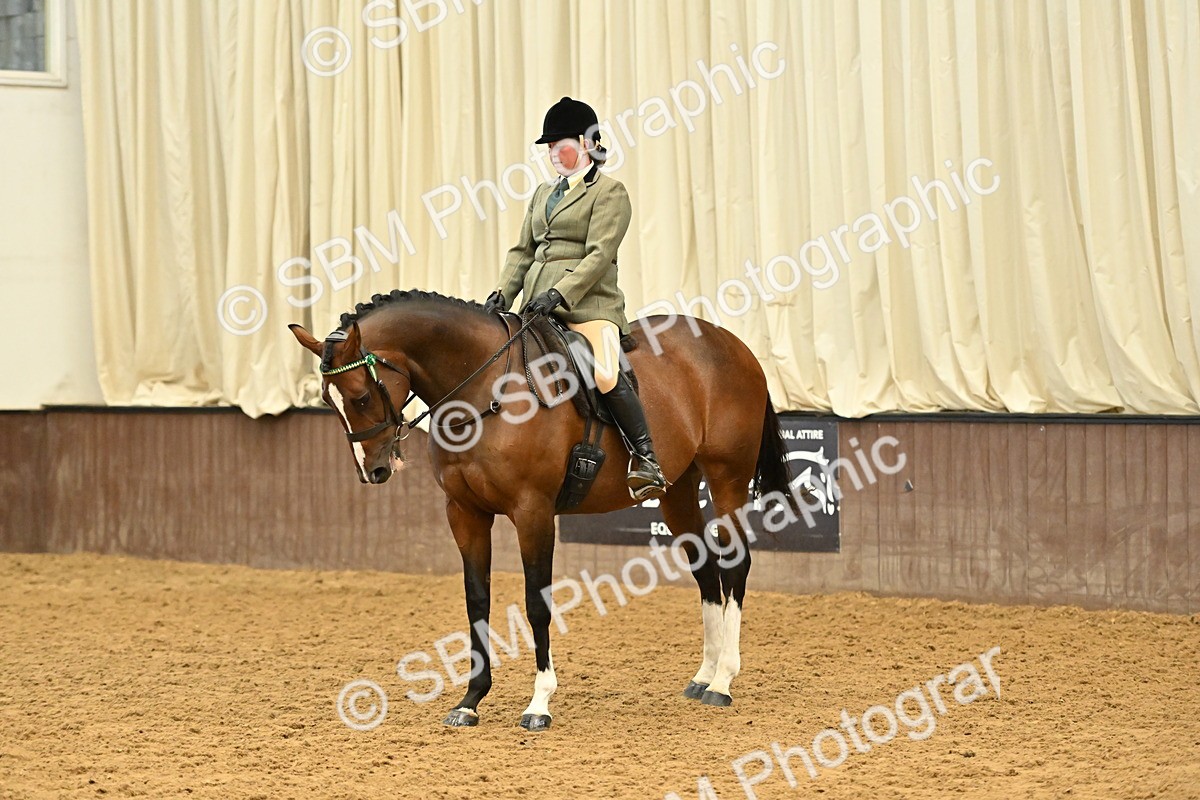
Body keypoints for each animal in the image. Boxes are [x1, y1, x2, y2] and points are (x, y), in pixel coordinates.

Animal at [289, 289, 797, 730]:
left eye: (359, 396)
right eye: (327, 401)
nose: (373, 470)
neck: (485, 388)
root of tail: (732, 343)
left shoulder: (532, 512)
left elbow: (537, 603)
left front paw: (539, 703)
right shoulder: (464, 513)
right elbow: (477, 601)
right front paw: (470, 701)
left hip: (727, 479)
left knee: (735, 564)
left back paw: (724, 681)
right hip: (678, 491)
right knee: (704, 567)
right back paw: (703, 676)